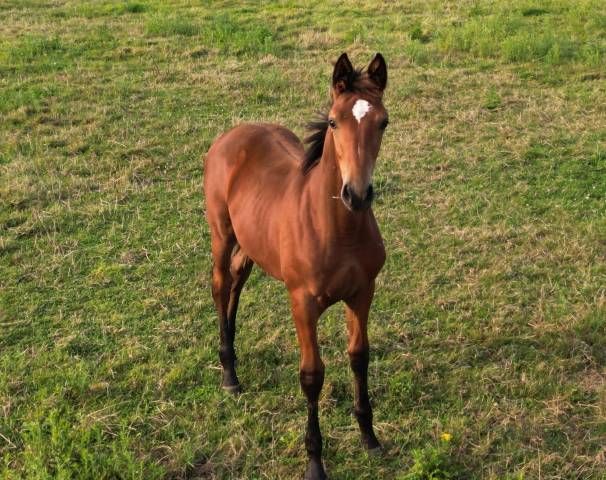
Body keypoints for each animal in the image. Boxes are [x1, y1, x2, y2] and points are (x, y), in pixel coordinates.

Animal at [205, 53, 390, 480]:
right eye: (334, 121)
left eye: (383, 122)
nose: (357, 194)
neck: (338, 229)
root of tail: (234, 134)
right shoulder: (303, 303)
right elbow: (312, 375)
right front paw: (315, 463)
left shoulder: (363, 293)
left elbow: (359, 356)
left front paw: (369, 436)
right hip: (221, 232)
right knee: (220, 283)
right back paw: (229, 373)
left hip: (253, 241)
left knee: (238, 277)